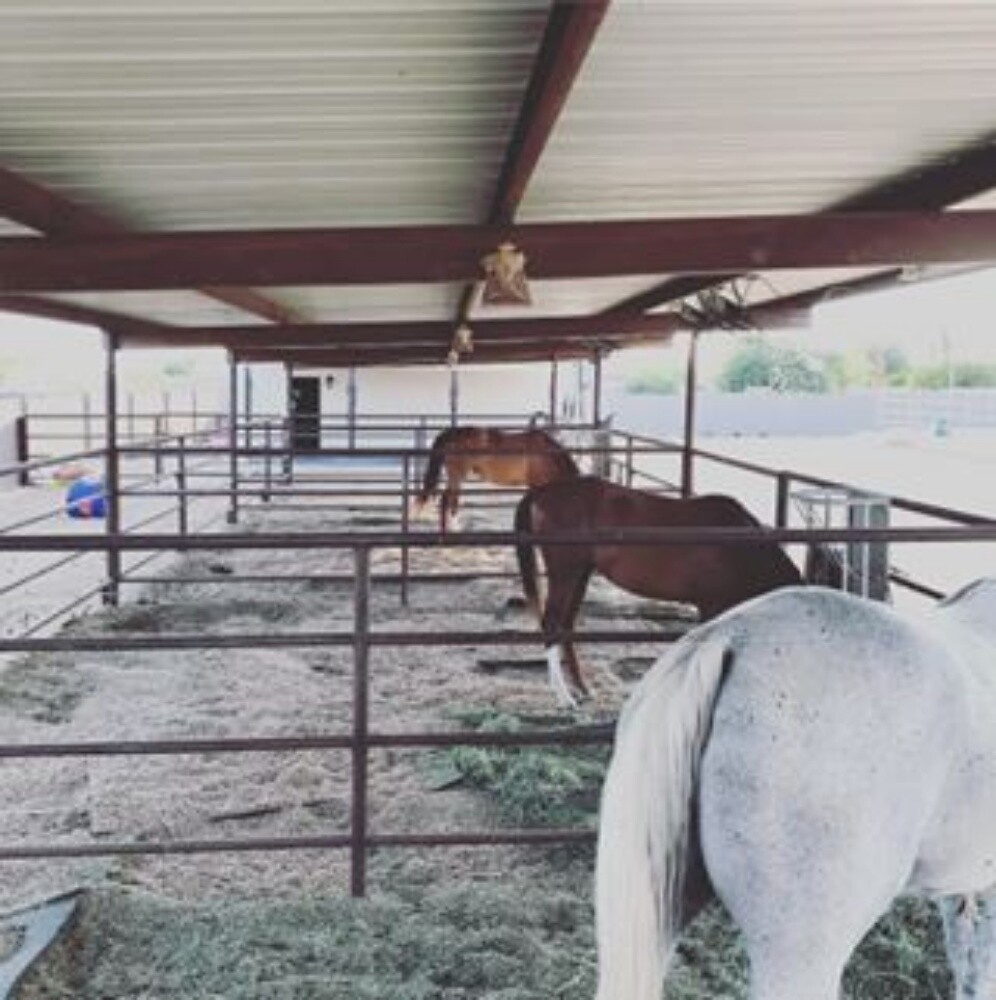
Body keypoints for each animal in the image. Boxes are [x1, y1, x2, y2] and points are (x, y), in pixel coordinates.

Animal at [415, 425, 579, 532]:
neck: (547, 455)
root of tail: (452, 433)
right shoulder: (536, 485)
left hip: (456, 477)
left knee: (452, 501)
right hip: (457, 474)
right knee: (447, 501)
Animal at [514, 476, 834, 706]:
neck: (738, 544)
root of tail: (543, 492)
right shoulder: (711, 606)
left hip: (580, 573)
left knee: (566, 624)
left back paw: (582, 689)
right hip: (565, 572)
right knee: (551, 623)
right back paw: (564, 697)